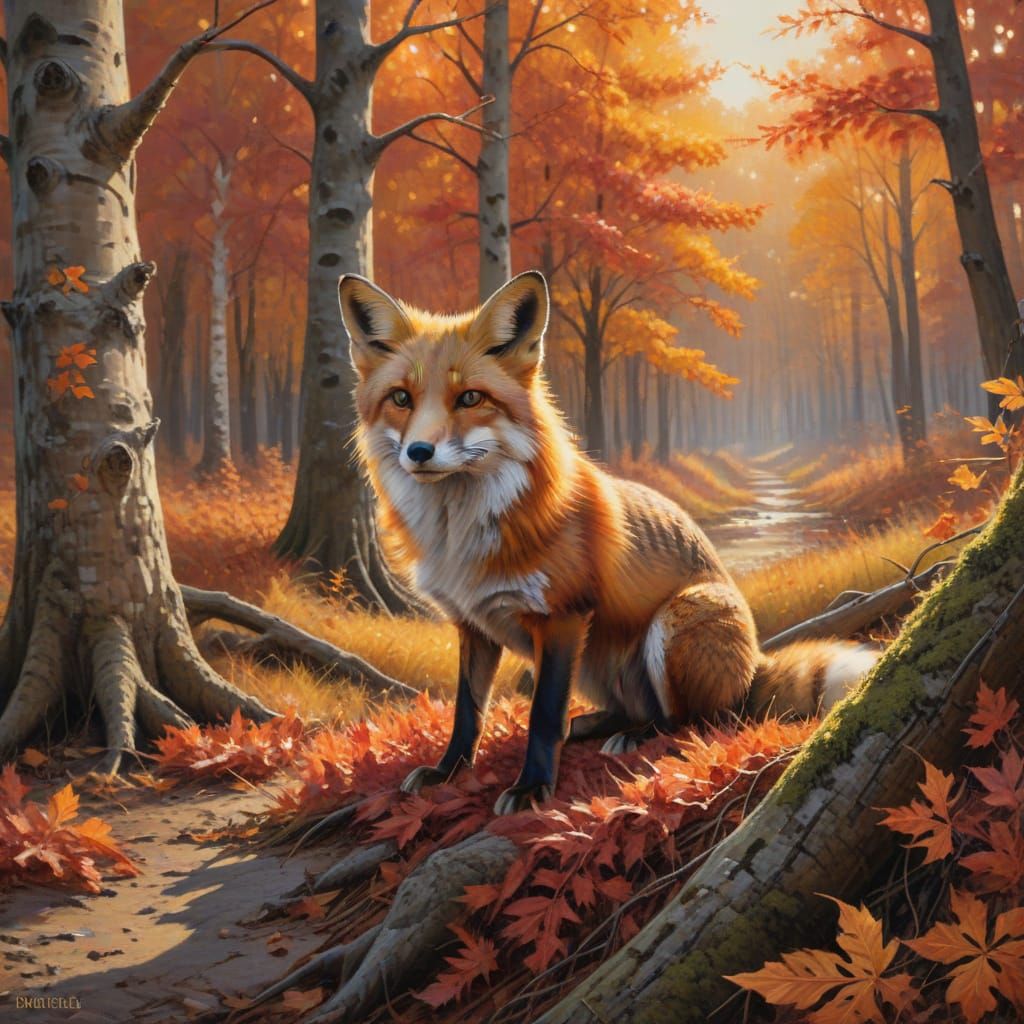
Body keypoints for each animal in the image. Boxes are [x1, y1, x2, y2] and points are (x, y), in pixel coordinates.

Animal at [340, 269, 879, 815]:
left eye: (470, 398)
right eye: (401, 398)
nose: (418, 452)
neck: (461, 538)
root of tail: (754, 667)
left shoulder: (562, 615)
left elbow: (543, 717)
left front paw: (533, 788)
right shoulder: (473, 625)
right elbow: (468, 712)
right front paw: (448, 771)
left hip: (671, 625)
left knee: (696, 721)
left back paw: (641, 735)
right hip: (597, 664)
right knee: (628, 709)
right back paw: (596, 726)